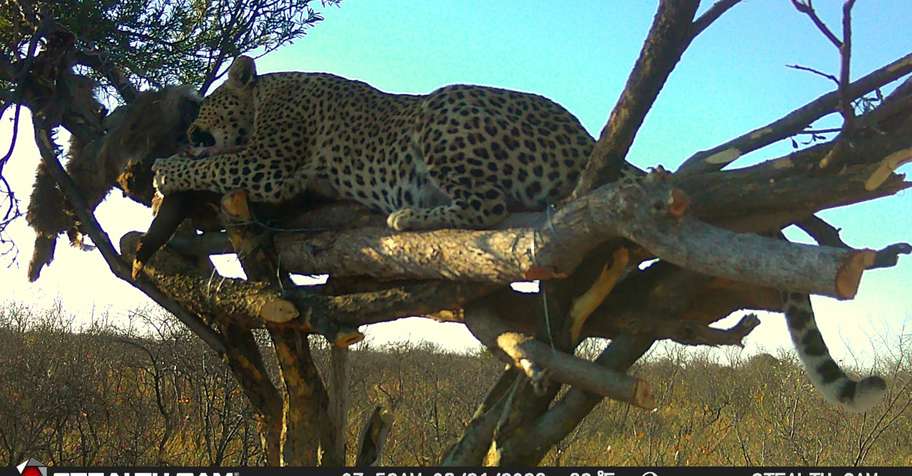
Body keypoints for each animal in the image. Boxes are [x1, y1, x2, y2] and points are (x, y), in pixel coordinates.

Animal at [152, 55, 885, 412]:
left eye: (208, 103)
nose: (189, 126)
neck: (268, 92)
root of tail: (583, 134)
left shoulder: (273, 160)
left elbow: (220, 164)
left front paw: (167, 169)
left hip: (445, 111)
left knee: (488, 205)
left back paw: (409, 215)